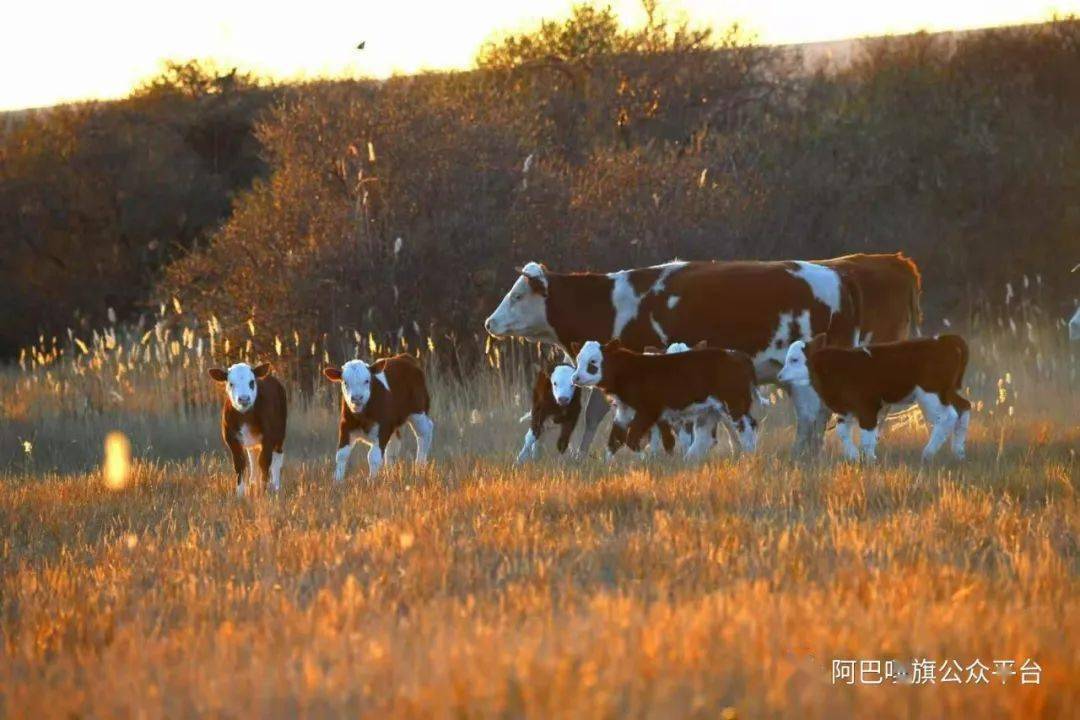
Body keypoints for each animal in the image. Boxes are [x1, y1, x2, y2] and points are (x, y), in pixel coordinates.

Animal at [207, 362, 287, 498]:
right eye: (231, 383)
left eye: (251, 382)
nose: (244, 399)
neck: (245, 415)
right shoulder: (232, 440)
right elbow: (239, 464)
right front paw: (240, 494)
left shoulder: (268, 438)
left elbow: (264, 462)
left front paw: (263, 492)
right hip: (252, 442)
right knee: (253, 457)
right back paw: (253, 483)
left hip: (280, 434)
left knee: (277, 458)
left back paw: (275, 486)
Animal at [570, 338, 756, 462]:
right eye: (578, 359)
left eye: (593, 362)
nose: (575, 378)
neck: (630, 370)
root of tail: (736, 354)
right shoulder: (624, 411)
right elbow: (615, 440)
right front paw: (608, 464)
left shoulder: (648, 411)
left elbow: (632, 438)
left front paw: (644, 458)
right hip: (710, 410)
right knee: (705, 437)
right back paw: (689, 460)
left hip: (733, 404)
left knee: (746, 427)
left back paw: (749, 457)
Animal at [777, 334, 972, 462]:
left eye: (794, 360)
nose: (779, 376)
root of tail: (943, 340)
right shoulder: (845, 408)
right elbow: (842, 432)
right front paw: (854, 456)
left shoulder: (867, 407)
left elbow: (867, 435)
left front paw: (869, 459)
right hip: (946, 392)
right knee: (964, 407)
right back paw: (959, 452)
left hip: (931, 394)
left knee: (947, 417)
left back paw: (928, 453)